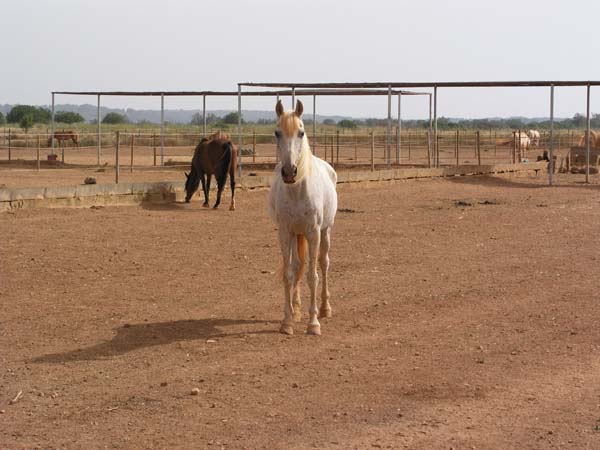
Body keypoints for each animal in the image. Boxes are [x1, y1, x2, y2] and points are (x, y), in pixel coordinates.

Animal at [268, 100, 338, 336]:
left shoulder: (313, 232)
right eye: (277, 132)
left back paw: (325, 309)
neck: (297, 190)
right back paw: (297, 309)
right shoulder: (285, 232)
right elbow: (289, 274)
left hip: (325, 231)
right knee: (298, 265)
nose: (290, 171)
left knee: (323, 264)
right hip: (296, 235)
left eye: (301, 132)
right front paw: (288, 321)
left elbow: (312, 276)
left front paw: (313, 323)